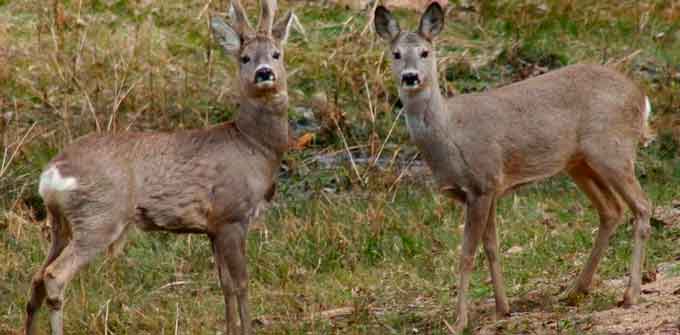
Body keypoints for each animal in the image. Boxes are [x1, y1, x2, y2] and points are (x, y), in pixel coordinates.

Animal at [24, 1, 294, 334]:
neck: (253, 146)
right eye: (245, 58)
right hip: (99, 216)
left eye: (276, 54)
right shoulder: (232, 214)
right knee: (54, 275)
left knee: (36, 277)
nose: (264, 73)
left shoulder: (213, 227)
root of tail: (52, 173)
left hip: (60, 222)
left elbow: (225, 285)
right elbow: (242, 283)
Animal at [374, 2, 652, 334]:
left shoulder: (482, 183)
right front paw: (502, 308)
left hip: (612, 149)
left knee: (642, 206)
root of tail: (641, 97)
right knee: (611, 209)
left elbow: (466, 254)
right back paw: (574, 291)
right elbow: (492, 247)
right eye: (396, 54)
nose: (410, 77)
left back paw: (630, 294)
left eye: (425, 52)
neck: (449, 134)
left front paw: (459, 320)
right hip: (579, 162)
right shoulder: (489, 189)